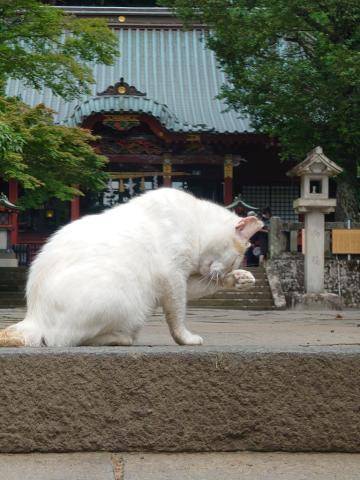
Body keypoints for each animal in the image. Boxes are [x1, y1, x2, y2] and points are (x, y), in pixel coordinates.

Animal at [1, 187, 262, 344]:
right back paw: (120, 338)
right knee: (65, 339)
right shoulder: (172, 278)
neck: (195, 224)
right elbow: (177, 315)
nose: (229, 271)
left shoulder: (182, 280)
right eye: (234, 259)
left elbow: (200, 287)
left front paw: (241, 279)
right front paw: (186, 339)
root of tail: (34, 317)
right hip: (126, 301)